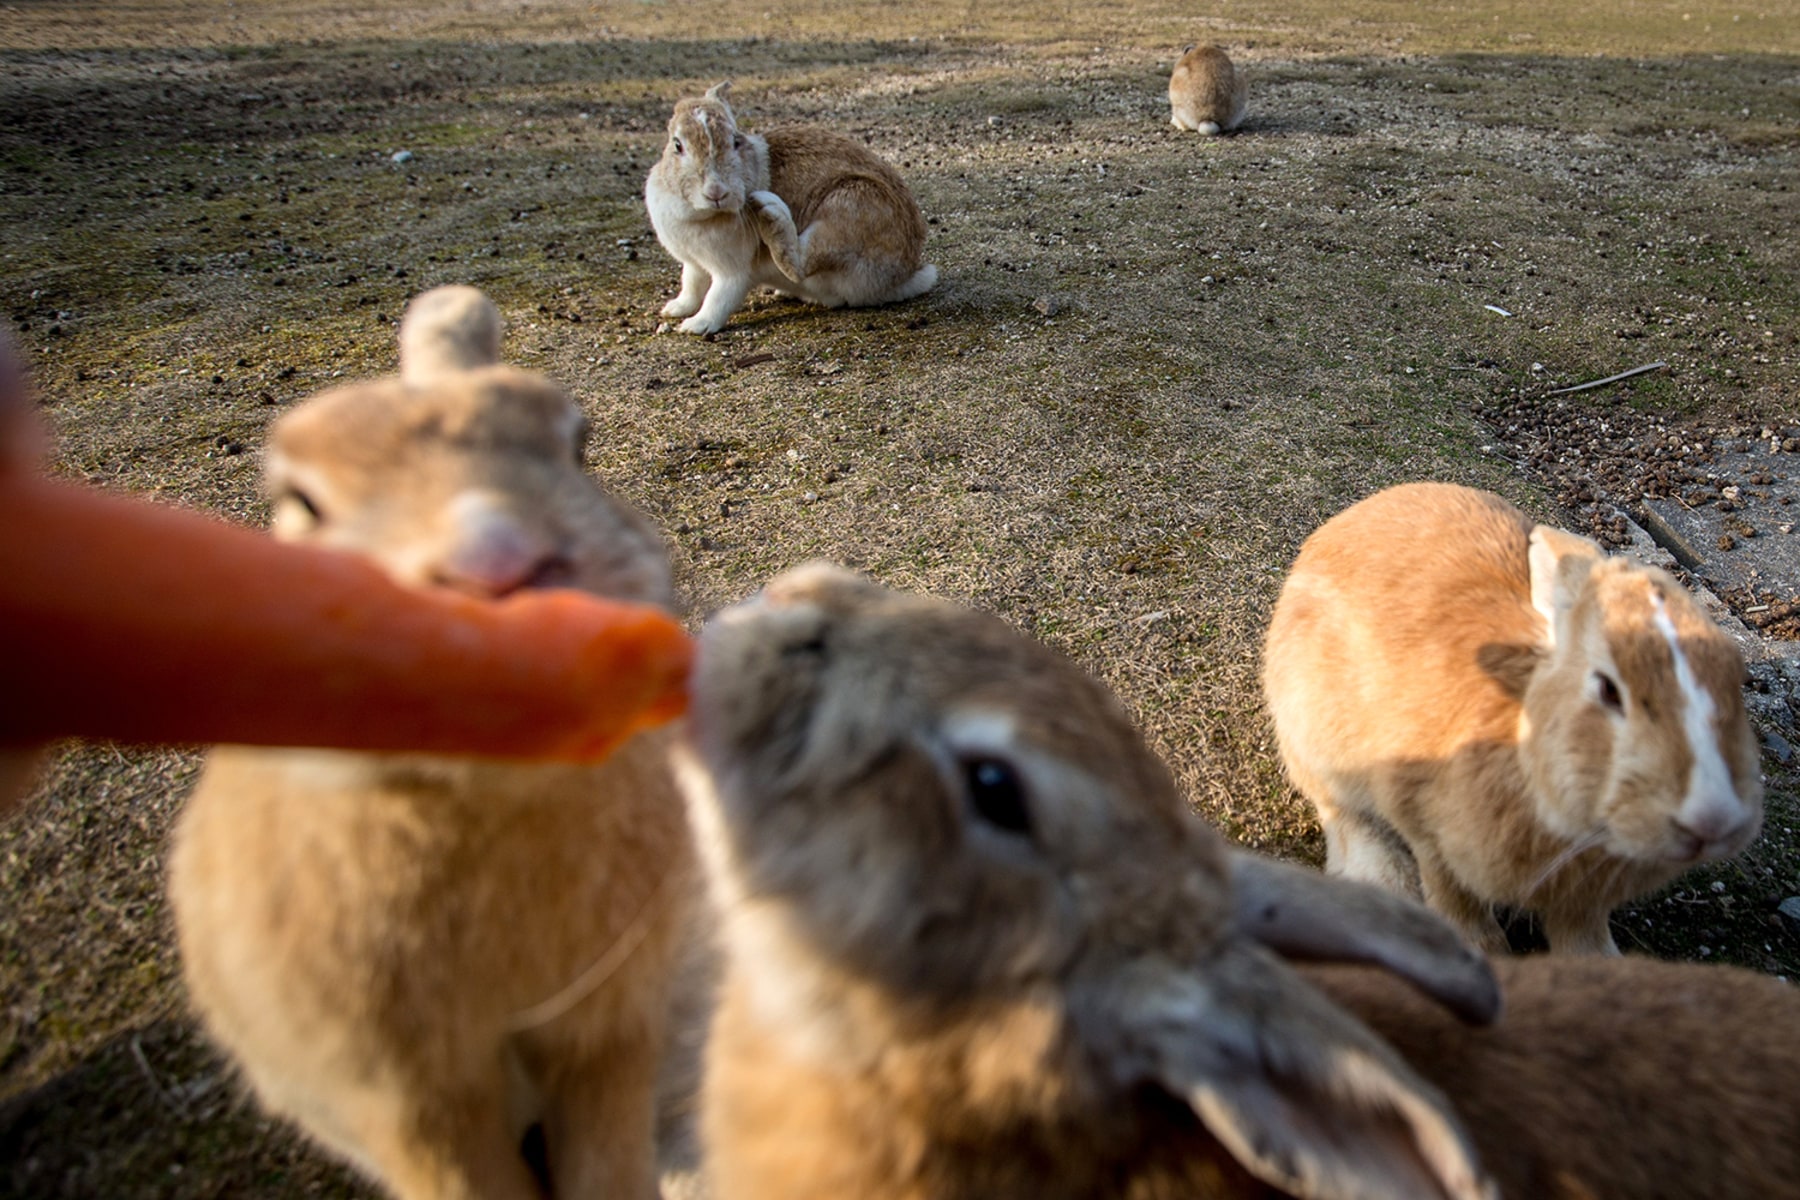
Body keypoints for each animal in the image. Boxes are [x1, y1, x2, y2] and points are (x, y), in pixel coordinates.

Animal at [644, 80, 936, 336]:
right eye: (677, 145)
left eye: (735, 141)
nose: (717, 192)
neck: (702, 214)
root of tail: (904, 275)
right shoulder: (693, 264)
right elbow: (691, 285)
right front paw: (674, 309)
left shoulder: (733, 272)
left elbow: (719, 297)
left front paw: (696, 326)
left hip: (848, 205)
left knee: (799, 264)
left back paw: (769, 209)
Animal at [1260, 482, 1764, 957]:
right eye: (1607, 689)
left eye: (1735, 674)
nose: (1714, 819)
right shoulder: (1426, 826)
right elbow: (1452, 895)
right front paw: (1479, 950)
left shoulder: (1581, 899)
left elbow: (1582, 935)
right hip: (1312, 730)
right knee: (1337, 808)